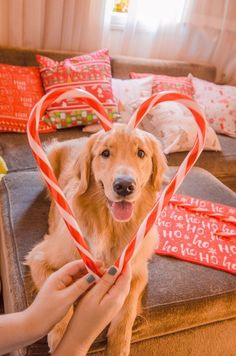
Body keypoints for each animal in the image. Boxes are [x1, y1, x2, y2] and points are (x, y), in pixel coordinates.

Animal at [25, 123, 166, 356]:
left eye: (141, 153)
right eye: (105, 153)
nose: (124, 186)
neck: (110, 225)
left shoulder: (138, 271)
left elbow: (127, 308)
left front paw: (119, 345)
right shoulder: (38, 257)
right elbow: (57, 302)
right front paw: (60, 335)